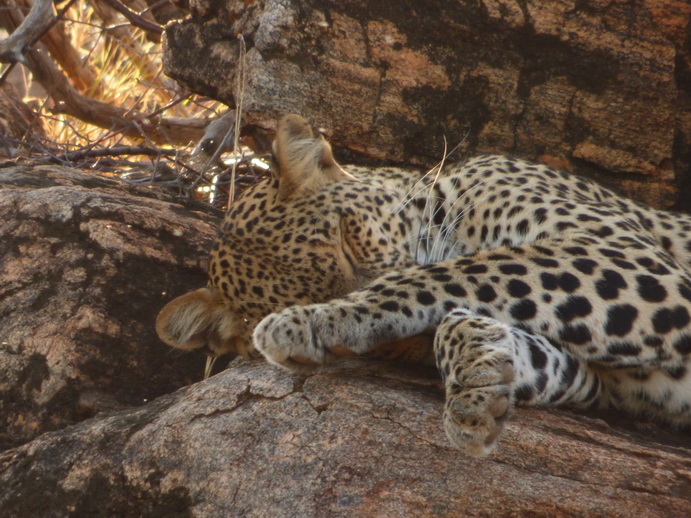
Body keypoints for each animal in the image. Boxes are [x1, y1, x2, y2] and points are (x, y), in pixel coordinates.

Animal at [157, 115, 691, 460]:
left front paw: (316, 320)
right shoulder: (603, 380)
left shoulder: (624, 254)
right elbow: (474, 321)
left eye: (348, 240)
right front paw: (481, 378)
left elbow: (462, 272)